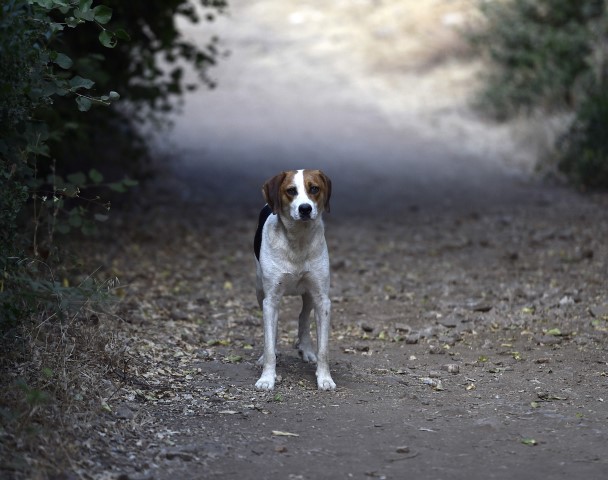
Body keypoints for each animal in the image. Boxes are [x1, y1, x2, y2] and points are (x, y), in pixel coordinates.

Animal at [253, 169, 338, 390]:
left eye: (314, 188)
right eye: (291, 191)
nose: (305, 208)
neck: (298, 240)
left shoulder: (322, 299)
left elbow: (324, 349)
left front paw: (325, 378)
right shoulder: (271, 299)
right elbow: (269, 344)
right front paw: (266, 378)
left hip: (308, 293)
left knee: (303, 317)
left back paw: (306, 349)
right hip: (259, 289)